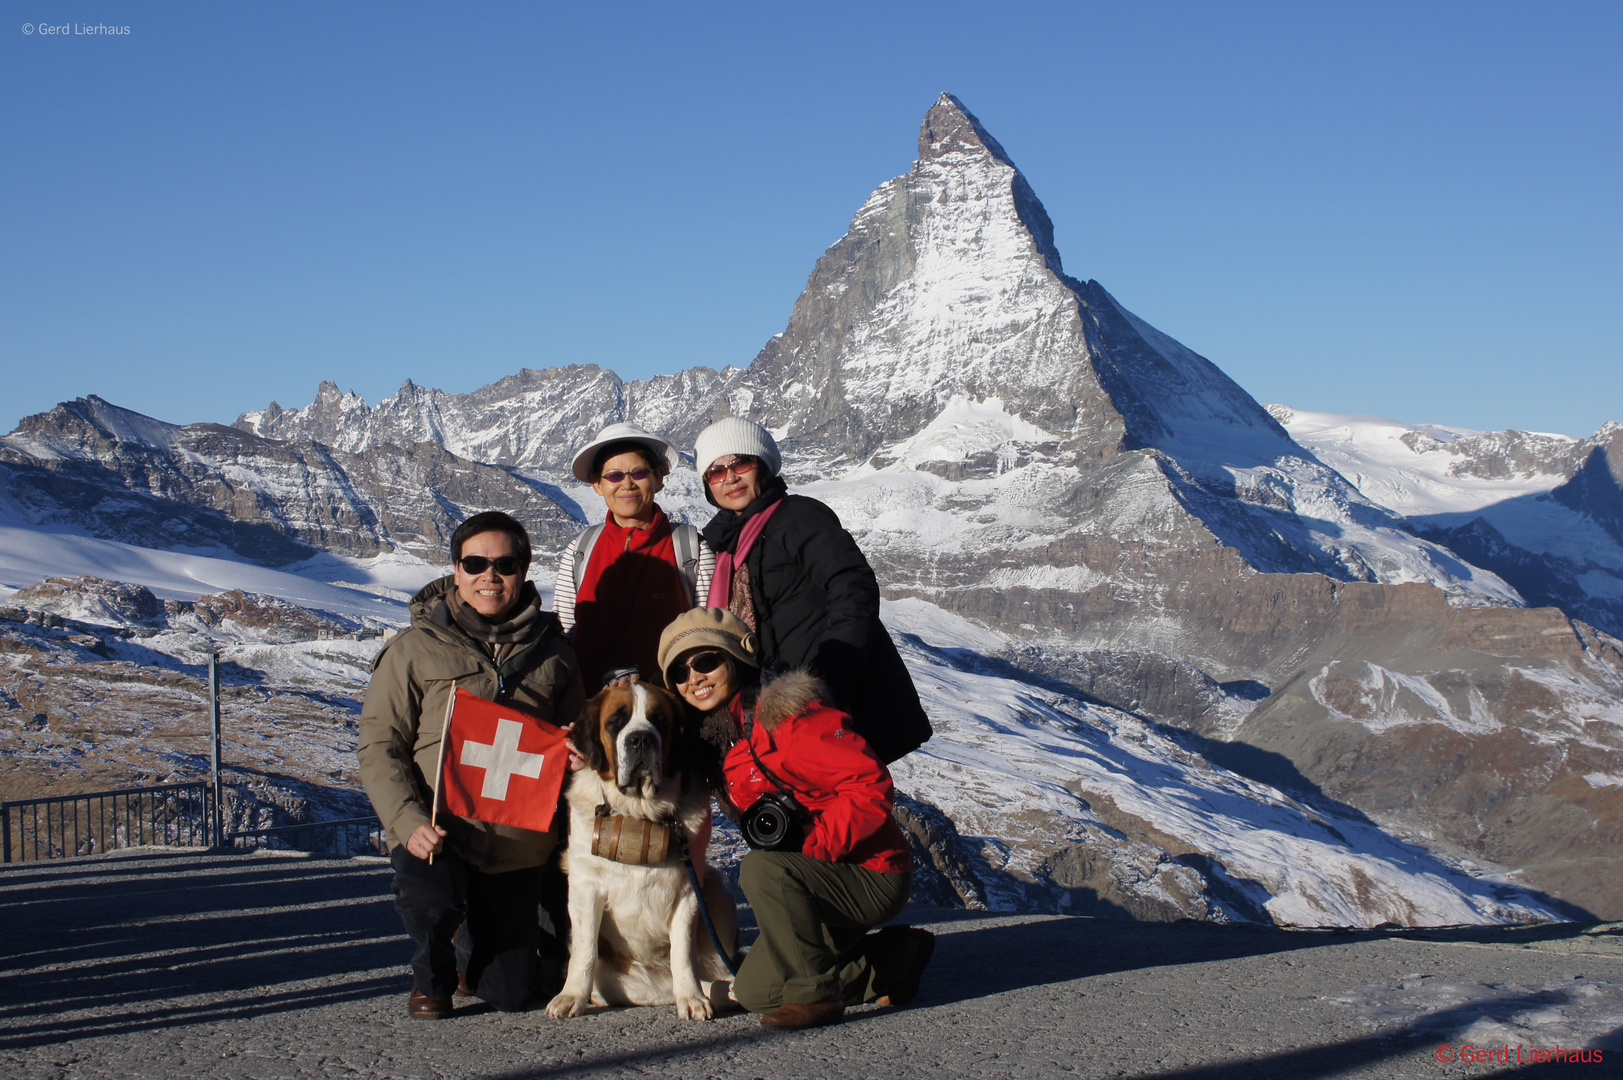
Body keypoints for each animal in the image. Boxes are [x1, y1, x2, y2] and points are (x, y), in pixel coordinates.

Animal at [551, 678, 743, 1013]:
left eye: (660, 721)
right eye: (616, 722)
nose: (640, 738)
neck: (638, 813)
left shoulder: (688, 890)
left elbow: (683, 951)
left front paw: (692, 999)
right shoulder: (585, 885)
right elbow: (585, 949)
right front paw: (572, 996)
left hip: (716, 891)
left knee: (710, 972)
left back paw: (725, 990)